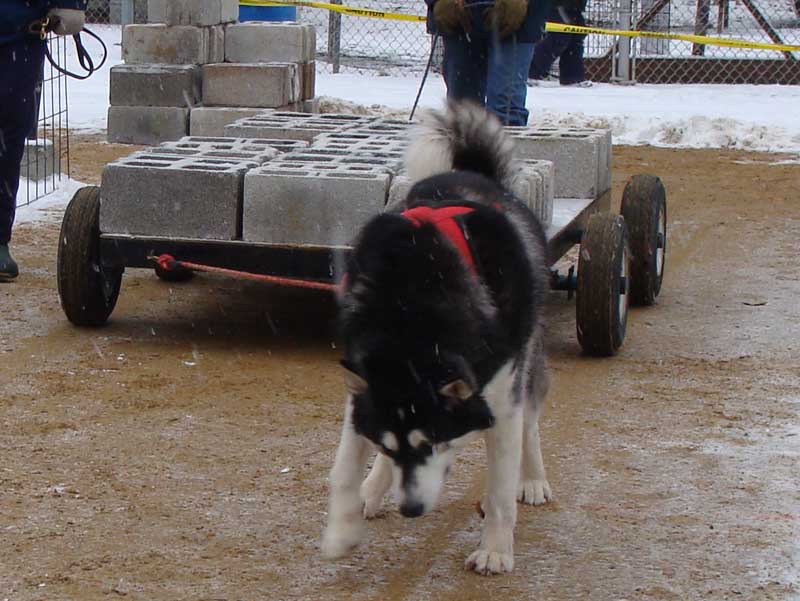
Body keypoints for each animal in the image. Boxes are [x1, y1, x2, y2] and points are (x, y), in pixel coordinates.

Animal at [322, 101, 552, 576]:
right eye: (393, 444)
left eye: (431, 442)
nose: (410, 510)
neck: (411, 318)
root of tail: (474, 176)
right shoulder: (362, 394)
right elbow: (344, 469)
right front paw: (342, 528)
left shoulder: (501, 398)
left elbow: (500, 489)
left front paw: (495, 549)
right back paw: (374, 489)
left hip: (529, 355)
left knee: (532, 423)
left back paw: (533, 478)